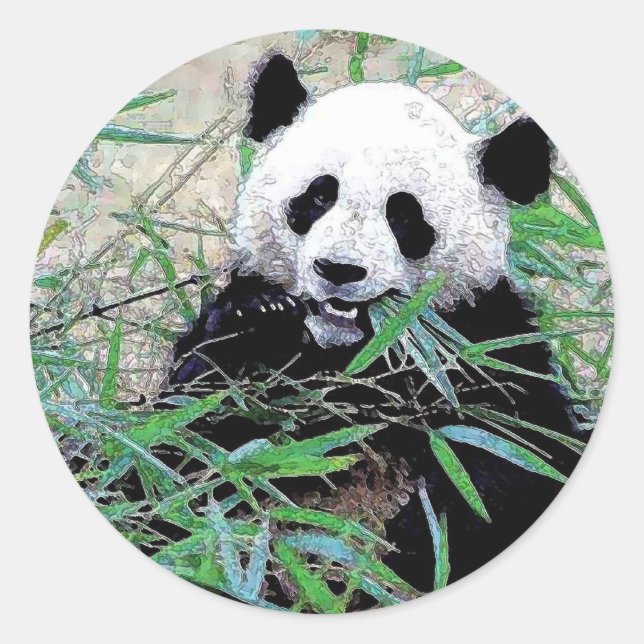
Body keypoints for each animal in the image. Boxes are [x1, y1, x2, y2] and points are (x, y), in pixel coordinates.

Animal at [167, 54, 582, 603]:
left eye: (404, 214)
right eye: (319, 195)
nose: (339, 269)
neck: (351, 354)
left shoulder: (482, 350)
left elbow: (509, 461)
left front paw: (402, 546)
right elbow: (186, 440)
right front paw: (260, 317)